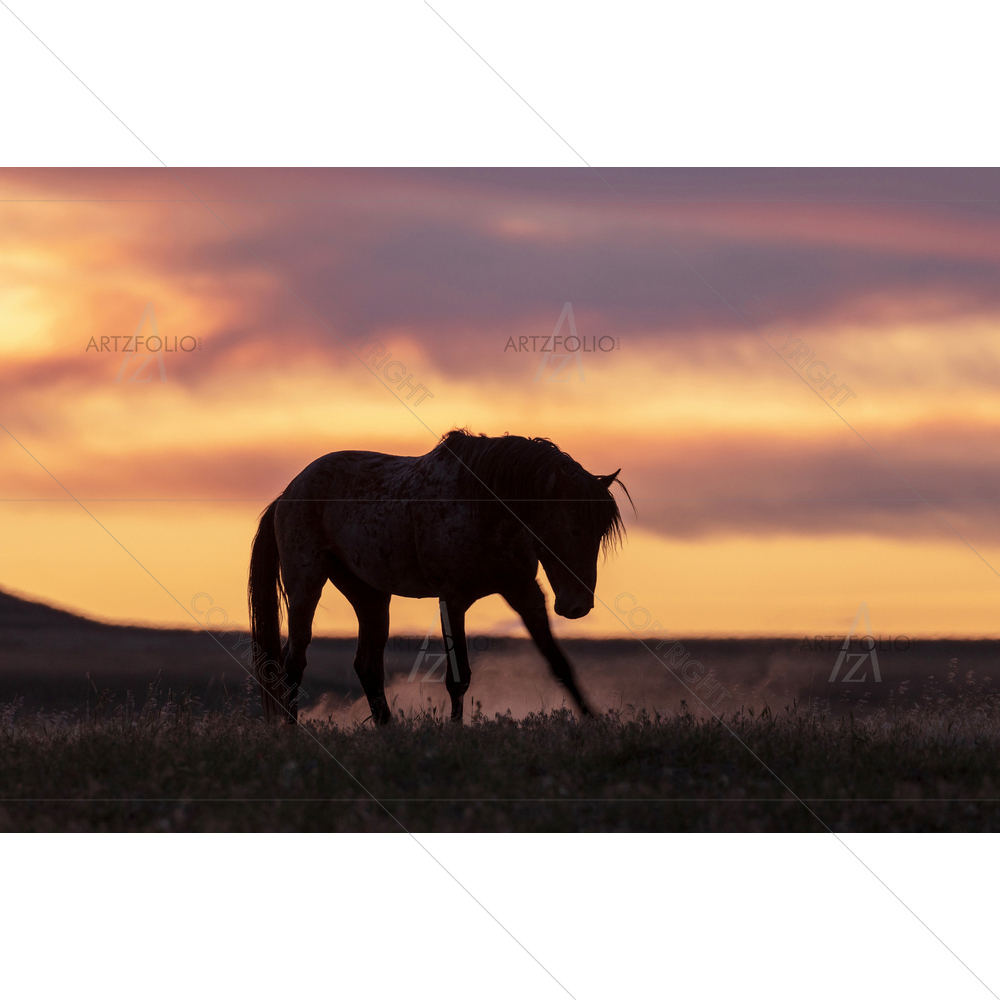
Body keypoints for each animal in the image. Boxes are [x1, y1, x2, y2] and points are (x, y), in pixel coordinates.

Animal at [247, 429, 628, 724]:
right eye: (574, 529)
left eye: (599, 533)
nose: (578, 605)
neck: (483, 506)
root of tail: (287, 493)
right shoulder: (453, 599)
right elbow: (458, 677)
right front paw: (456, 733)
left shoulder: (523, 592)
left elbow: (560, 663)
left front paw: (595, 723)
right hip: (306, 585)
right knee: (295, 660)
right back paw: (294, 733)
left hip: (370, 595)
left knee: (367, 666)